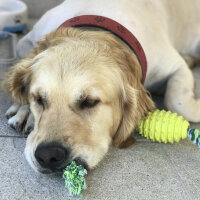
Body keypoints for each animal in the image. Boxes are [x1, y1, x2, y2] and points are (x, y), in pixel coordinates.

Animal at [2, 0, 200, 173]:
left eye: (89, 102)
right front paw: (25, 111)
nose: (47, 155)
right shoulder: (25, 42)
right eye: (38, 99)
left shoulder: (174, 64)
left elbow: (178, 102)